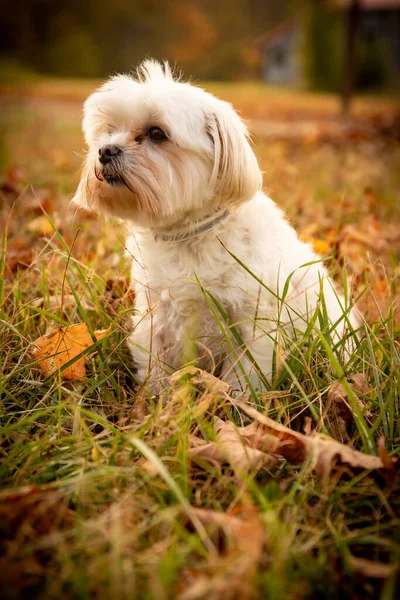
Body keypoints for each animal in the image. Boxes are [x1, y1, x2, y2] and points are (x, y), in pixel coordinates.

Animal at [72, 58, 360, 392]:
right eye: (109, 131)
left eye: (157, 133)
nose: (105, 150)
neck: (189, 234)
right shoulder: (156, 317)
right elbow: (155, 368)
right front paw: (155, 401)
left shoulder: (255, 324)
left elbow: (245, 379)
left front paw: (234, 403)